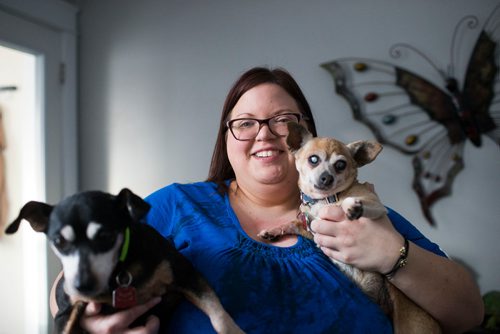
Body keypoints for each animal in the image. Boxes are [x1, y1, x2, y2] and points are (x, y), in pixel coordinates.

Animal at [5, 189, 244, 332]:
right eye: (58, 241)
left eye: (105, 236)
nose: (82, 286)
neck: (120, 272)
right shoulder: (65, 311)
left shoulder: (184, 272)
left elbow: (218, 314)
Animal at [260, 123, 440, 334]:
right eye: (313, 159)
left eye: (340, 165)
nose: (326, 178)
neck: (324, 201)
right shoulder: (311, 228)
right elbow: (293, 224)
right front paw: (273, 230)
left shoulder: (376, 205)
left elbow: (354, 202)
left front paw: (351, 206)